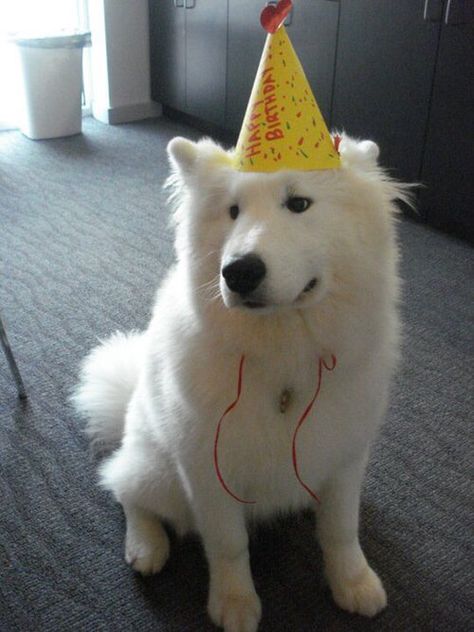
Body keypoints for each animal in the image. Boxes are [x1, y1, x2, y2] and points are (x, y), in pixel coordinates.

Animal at [74, 135, 412, 632]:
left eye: (298, 204)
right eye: (232, 211)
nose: (239, 271)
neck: (283, 355)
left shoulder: (344, 455)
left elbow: (340, 529)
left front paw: (354, 583)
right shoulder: (207, 470)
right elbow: (228, 545)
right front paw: (234, 604)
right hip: (158, 472)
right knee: (124, 487)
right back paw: (146, 545)